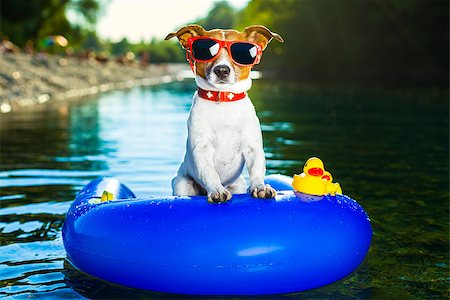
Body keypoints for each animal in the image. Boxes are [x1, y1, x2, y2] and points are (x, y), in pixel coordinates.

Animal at [165, 24, 284, 204]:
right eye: (205, 50)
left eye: (240, 52)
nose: (222, 70)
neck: (224, 102)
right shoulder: (202, 149)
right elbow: (209, 171)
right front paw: (217, 190)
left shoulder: (253, 147)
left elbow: (257, 169)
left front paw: (260, 187)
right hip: (182, 184)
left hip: (238, 184)